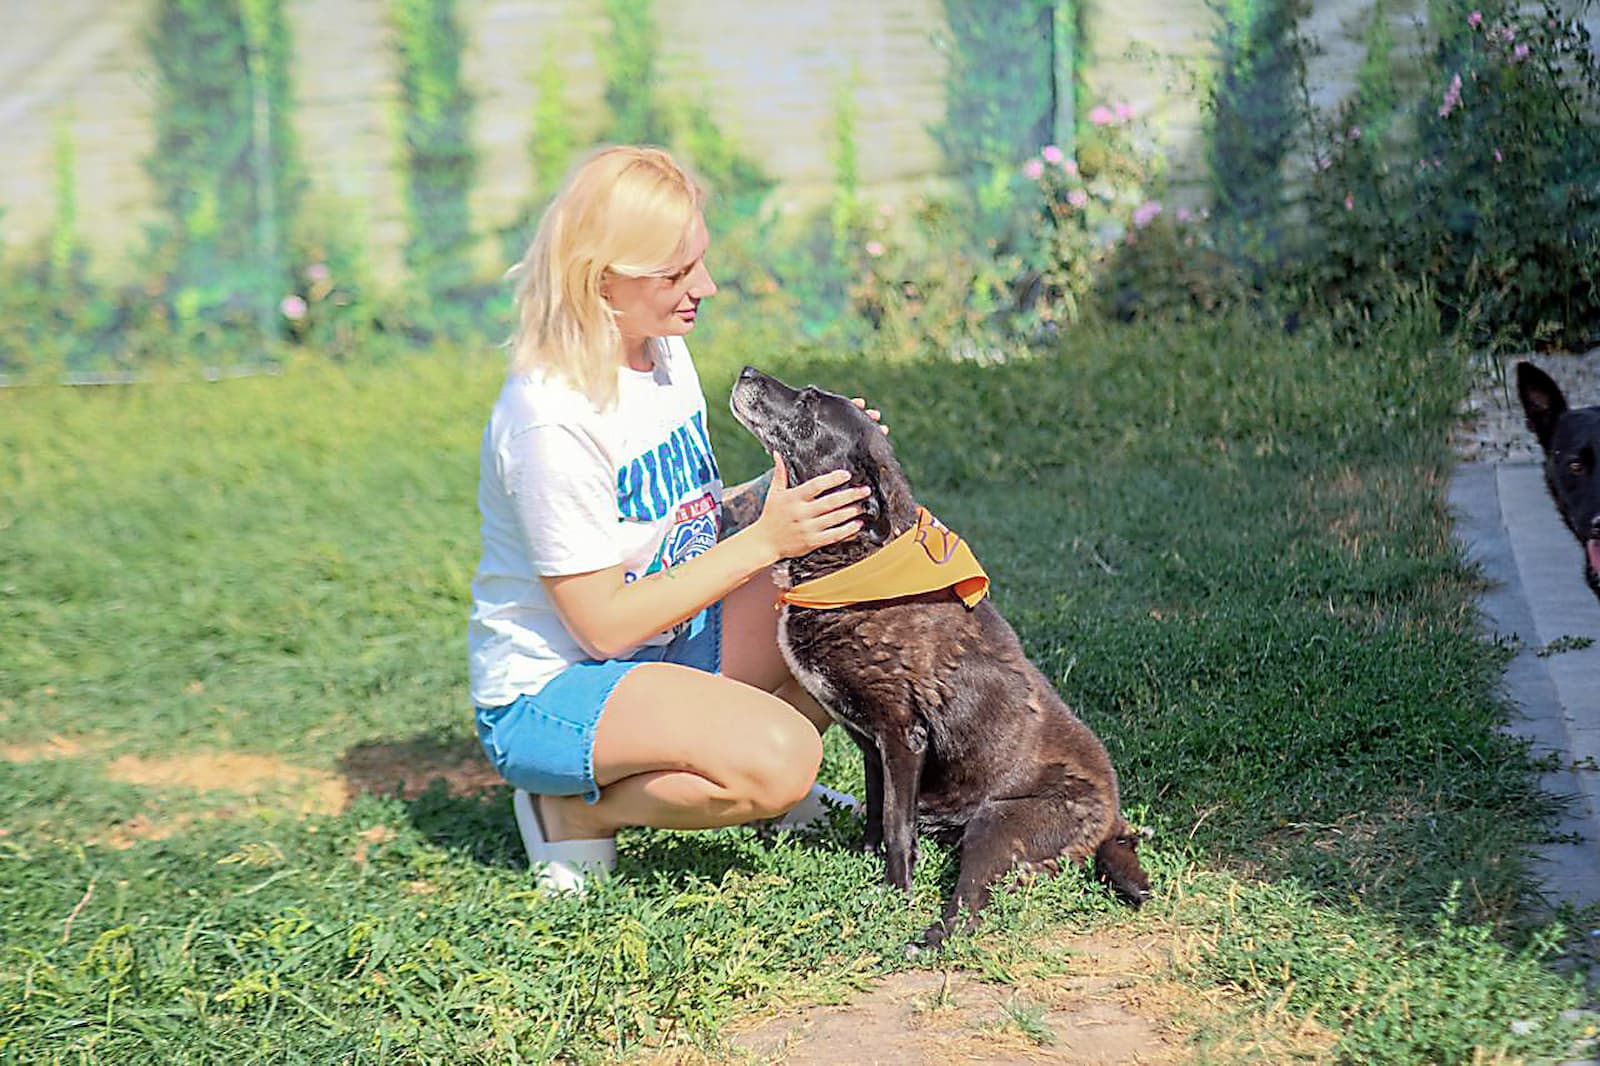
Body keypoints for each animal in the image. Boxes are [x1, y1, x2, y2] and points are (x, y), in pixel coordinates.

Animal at [729, 367, 1149, 948]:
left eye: (809, 402)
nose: (747, 371)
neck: (856, 561)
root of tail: (1113, 818)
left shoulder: (903, 735)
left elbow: (896, 824)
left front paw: (894, 891)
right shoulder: (872, 744)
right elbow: (877, 810)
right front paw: (866, 864)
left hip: (996, 826)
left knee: (971, 907)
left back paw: (927, 937)